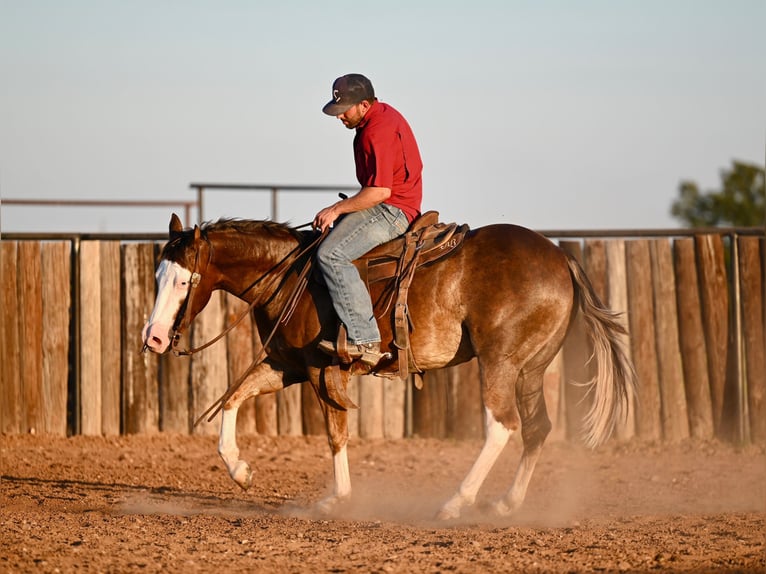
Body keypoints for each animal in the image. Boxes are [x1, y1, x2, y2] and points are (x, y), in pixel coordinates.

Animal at [142, 214, 636, 520]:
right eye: (158, 276)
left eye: (185, 280)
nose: (154, 338)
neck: (291, 277)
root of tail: (561, 257)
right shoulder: (286, 364)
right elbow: (232, 397)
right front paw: (240, 472)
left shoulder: (323, 370)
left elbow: (336, 433)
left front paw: (336, 499)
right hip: (531, 368)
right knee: (536, 428)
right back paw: (504, 504)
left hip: (500, 362)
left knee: (502, 425)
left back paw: (455, 503)